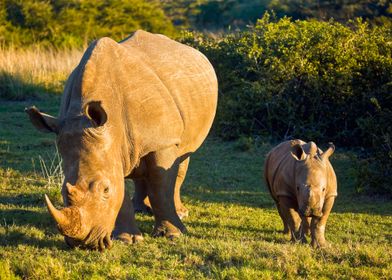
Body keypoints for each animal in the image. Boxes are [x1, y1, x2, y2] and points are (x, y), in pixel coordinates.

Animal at [26, 29, 219, 250]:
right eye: (64, 192)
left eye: (105, 190)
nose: (84, 244)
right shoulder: (111, 147)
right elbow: (123, 190)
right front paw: (128, 239)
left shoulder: (163, 141)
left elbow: (161, 185)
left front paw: (173, 235)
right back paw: (140, 209)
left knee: (182, 157)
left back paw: (180, 213)